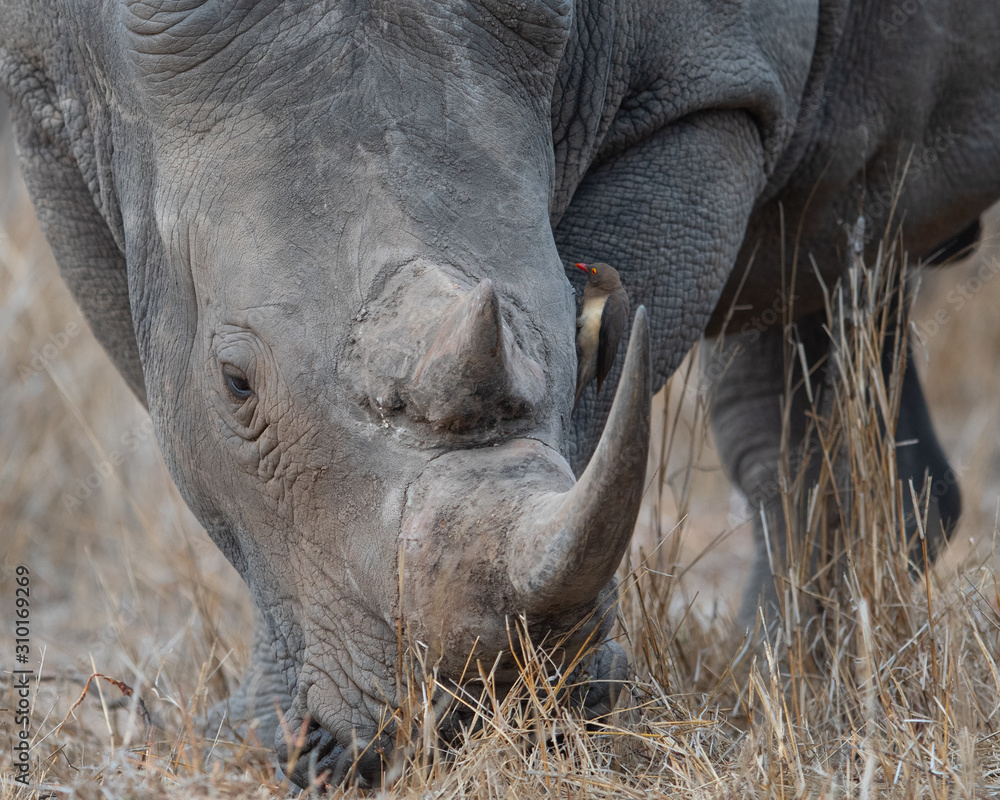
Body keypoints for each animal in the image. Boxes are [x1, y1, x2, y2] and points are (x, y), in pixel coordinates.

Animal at [2, 0, 998, 787]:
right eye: (236, 383)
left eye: (585, 338)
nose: (476, 707)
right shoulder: (48, 115)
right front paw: (275, 744)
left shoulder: (705, 93)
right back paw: (789, 679)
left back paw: (786, 685)